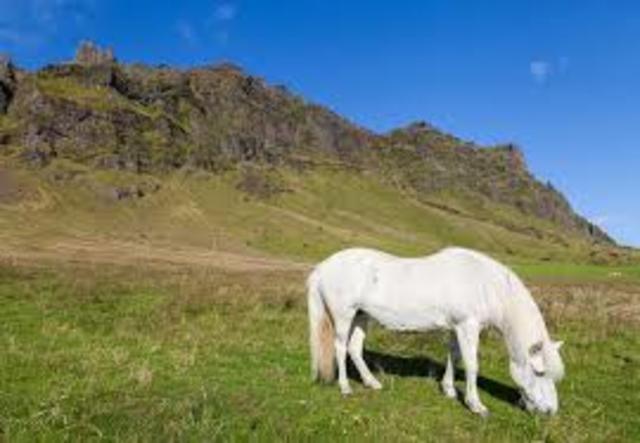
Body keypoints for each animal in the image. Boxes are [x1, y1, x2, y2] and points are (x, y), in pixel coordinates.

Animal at [307, 247, 564, 416]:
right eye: (539, 372)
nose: (550, 411)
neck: (484, 283)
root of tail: (322, 268)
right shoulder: (468, 326)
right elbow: (471, 365)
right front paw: (475, 405)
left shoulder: (456, 328)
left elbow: (454, 357)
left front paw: (449, 390)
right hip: (344, 316)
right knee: (340, 348)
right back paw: (345, 387)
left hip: (361, 316)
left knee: (354, 349)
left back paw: (372, 383)